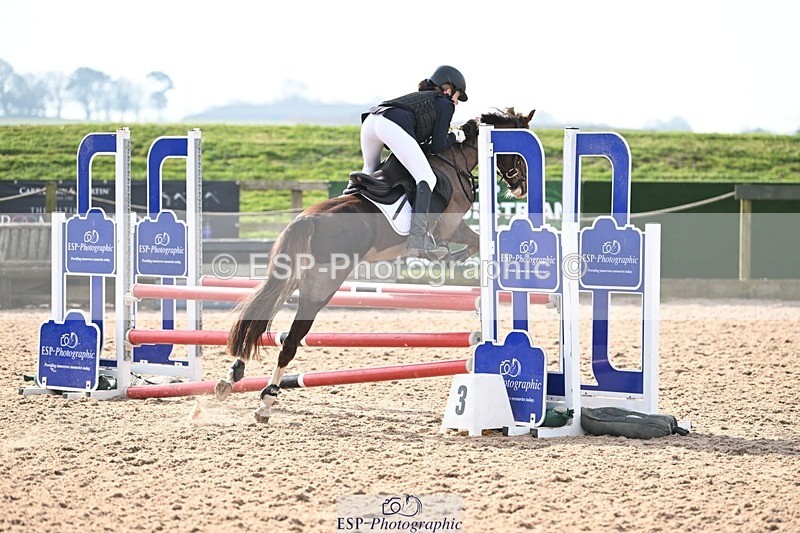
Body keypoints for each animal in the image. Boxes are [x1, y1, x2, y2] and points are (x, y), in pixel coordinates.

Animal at [215, 107, 535, 422]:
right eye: (519, 150)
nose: (521, 187)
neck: (454, 162)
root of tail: (306, 220)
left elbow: (475, 244)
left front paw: (446, 258)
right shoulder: (451, 226)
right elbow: (476, 242)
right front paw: (444, 256)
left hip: (290, 276)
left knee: (261, 314)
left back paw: (232, 377)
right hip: (321, 287)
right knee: (290, 341)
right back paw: (266, 401)